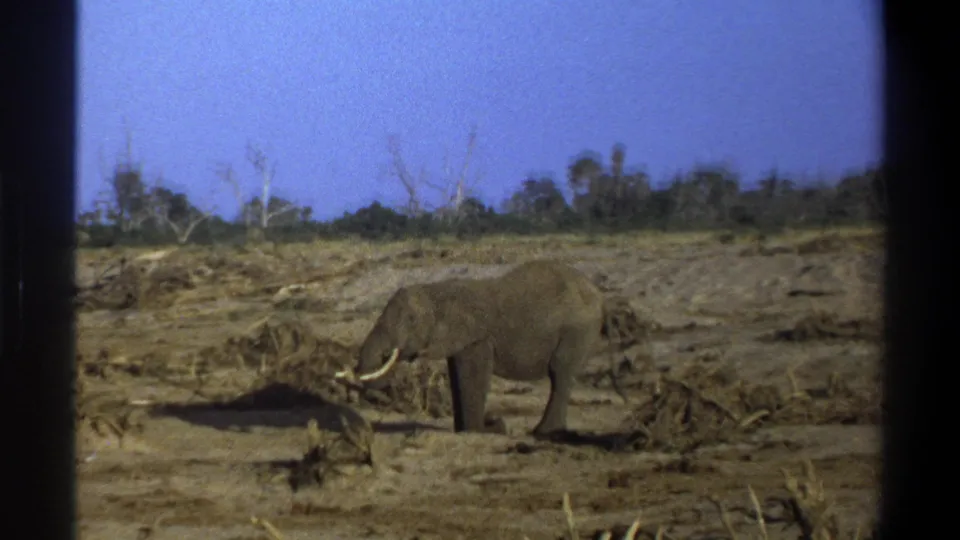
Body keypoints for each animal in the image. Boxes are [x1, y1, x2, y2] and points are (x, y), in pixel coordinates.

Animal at [335, 260, 643, 436]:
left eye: (411, 320)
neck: (438, 291)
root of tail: (602, 299)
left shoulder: (477, 337)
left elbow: (473, 375)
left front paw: (482, 430)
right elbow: (457, 375)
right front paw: (467, 430)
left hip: (577, 329)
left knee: (560, 372)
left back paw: (543, 432)